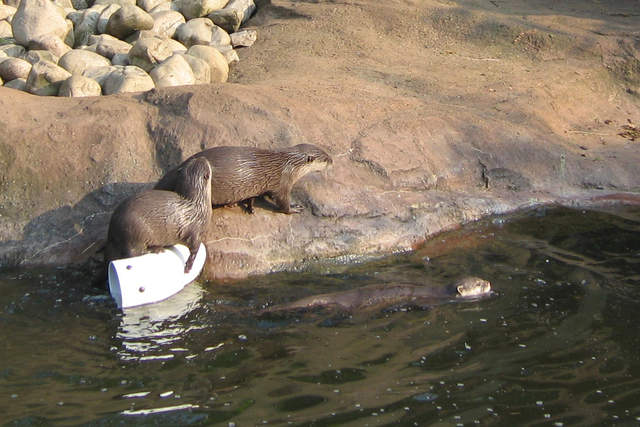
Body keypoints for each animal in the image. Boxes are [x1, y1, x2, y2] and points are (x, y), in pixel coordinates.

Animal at [154, 144, 332, 214]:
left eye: (325, 152)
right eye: (325, 158)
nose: (332, 160)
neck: (288, 166)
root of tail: (179, 168)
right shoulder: (282, 183)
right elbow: (282, 202)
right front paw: (294, 208)